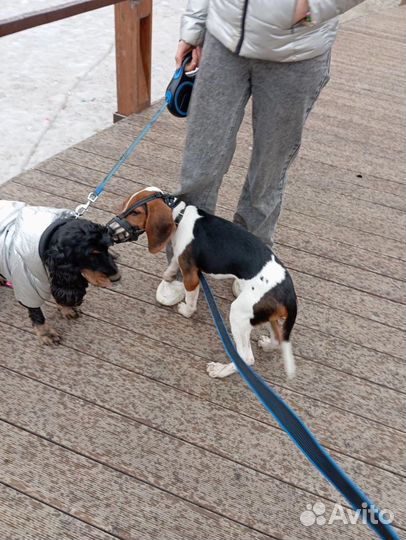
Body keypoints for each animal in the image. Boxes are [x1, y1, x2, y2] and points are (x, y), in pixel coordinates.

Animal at [116, 188, 296, 378]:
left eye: (136, 212)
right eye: (125, 205)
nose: (112, 227)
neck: (180, 215)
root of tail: (289, 294)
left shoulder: (192, 276)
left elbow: (190, 300)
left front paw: (186, 311)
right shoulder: (182, 258)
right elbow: (174, 262)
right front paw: (169, 275)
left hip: (239, 314)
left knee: (246, 358)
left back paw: (220, 370)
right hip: (267, 315)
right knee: (278, 339)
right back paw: (267, 344)